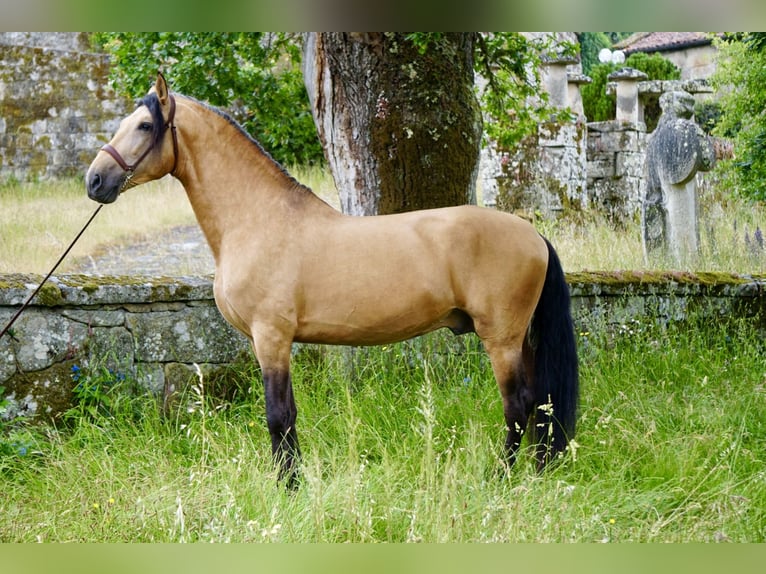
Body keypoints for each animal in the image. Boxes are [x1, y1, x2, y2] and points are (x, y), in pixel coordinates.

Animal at [85, 72, 584, 486]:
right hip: (521, 339)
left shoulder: (271, 337)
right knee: (542, 404)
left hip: (501, 339)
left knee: (519, 406)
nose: (95, 181)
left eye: (144, 126)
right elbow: (287, 416)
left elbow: (278, 416)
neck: (258, 218)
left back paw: (500, 479)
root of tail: (534, 235)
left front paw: (288, 488)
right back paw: (537, 473)